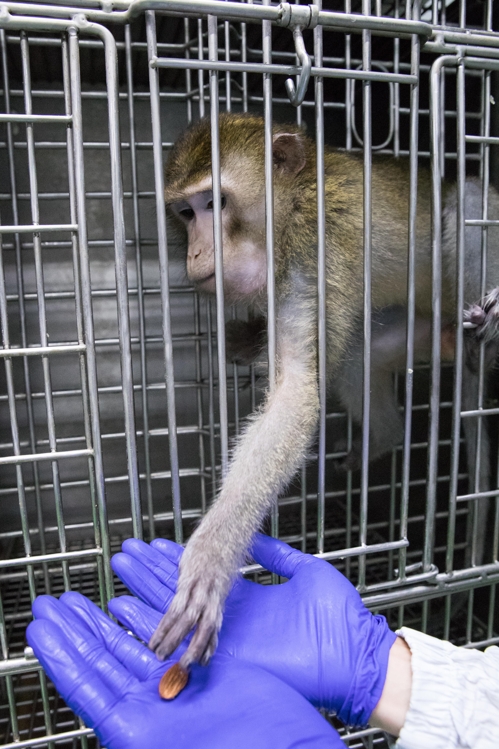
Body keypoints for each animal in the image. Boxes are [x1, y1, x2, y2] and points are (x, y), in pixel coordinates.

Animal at [150, 114, 499, 668]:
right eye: (186, 211)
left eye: (215, 203)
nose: (196, 251)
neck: (293, 204)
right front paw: (247, 338)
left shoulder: (319, 249)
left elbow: (297, 395)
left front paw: (210, 559)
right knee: (357, 357)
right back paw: (387, 429)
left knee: (467, 198)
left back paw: (482, 345)